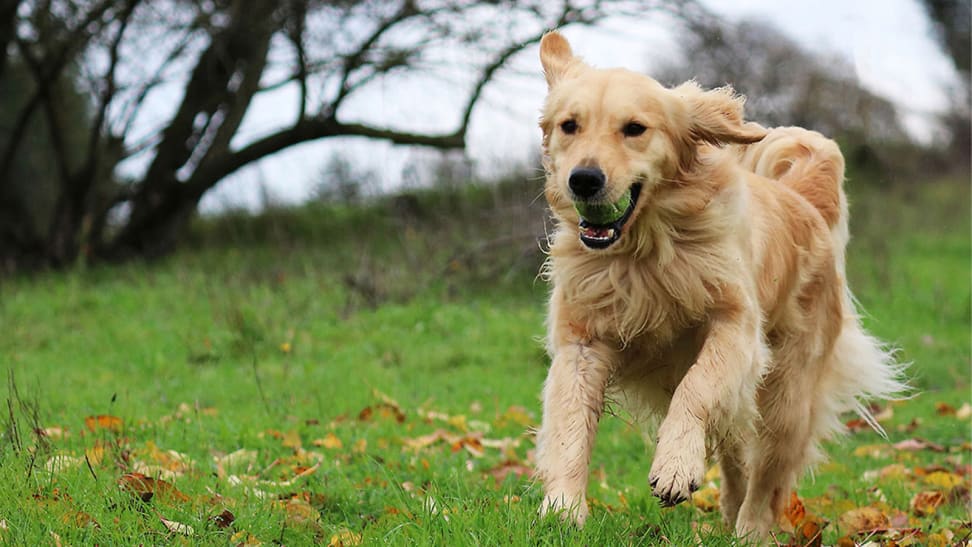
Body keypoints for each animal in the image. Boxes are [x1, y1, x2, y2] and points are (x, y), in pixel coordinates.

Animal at [532, 31, 904, 540]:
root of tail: (805, 201)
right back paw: (728, 511)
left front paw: (675, 466)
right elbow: (570, 423)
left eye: (634, 128)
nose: (584, 180)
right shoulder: (582, 341)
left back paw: (749, 531)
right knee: (736, 453)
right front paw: (563, 510)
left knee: (767, 479)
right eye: (570, 125)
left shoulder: (736, 328)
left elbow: (697, 387)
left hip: (788, 396)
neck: (644, 252)